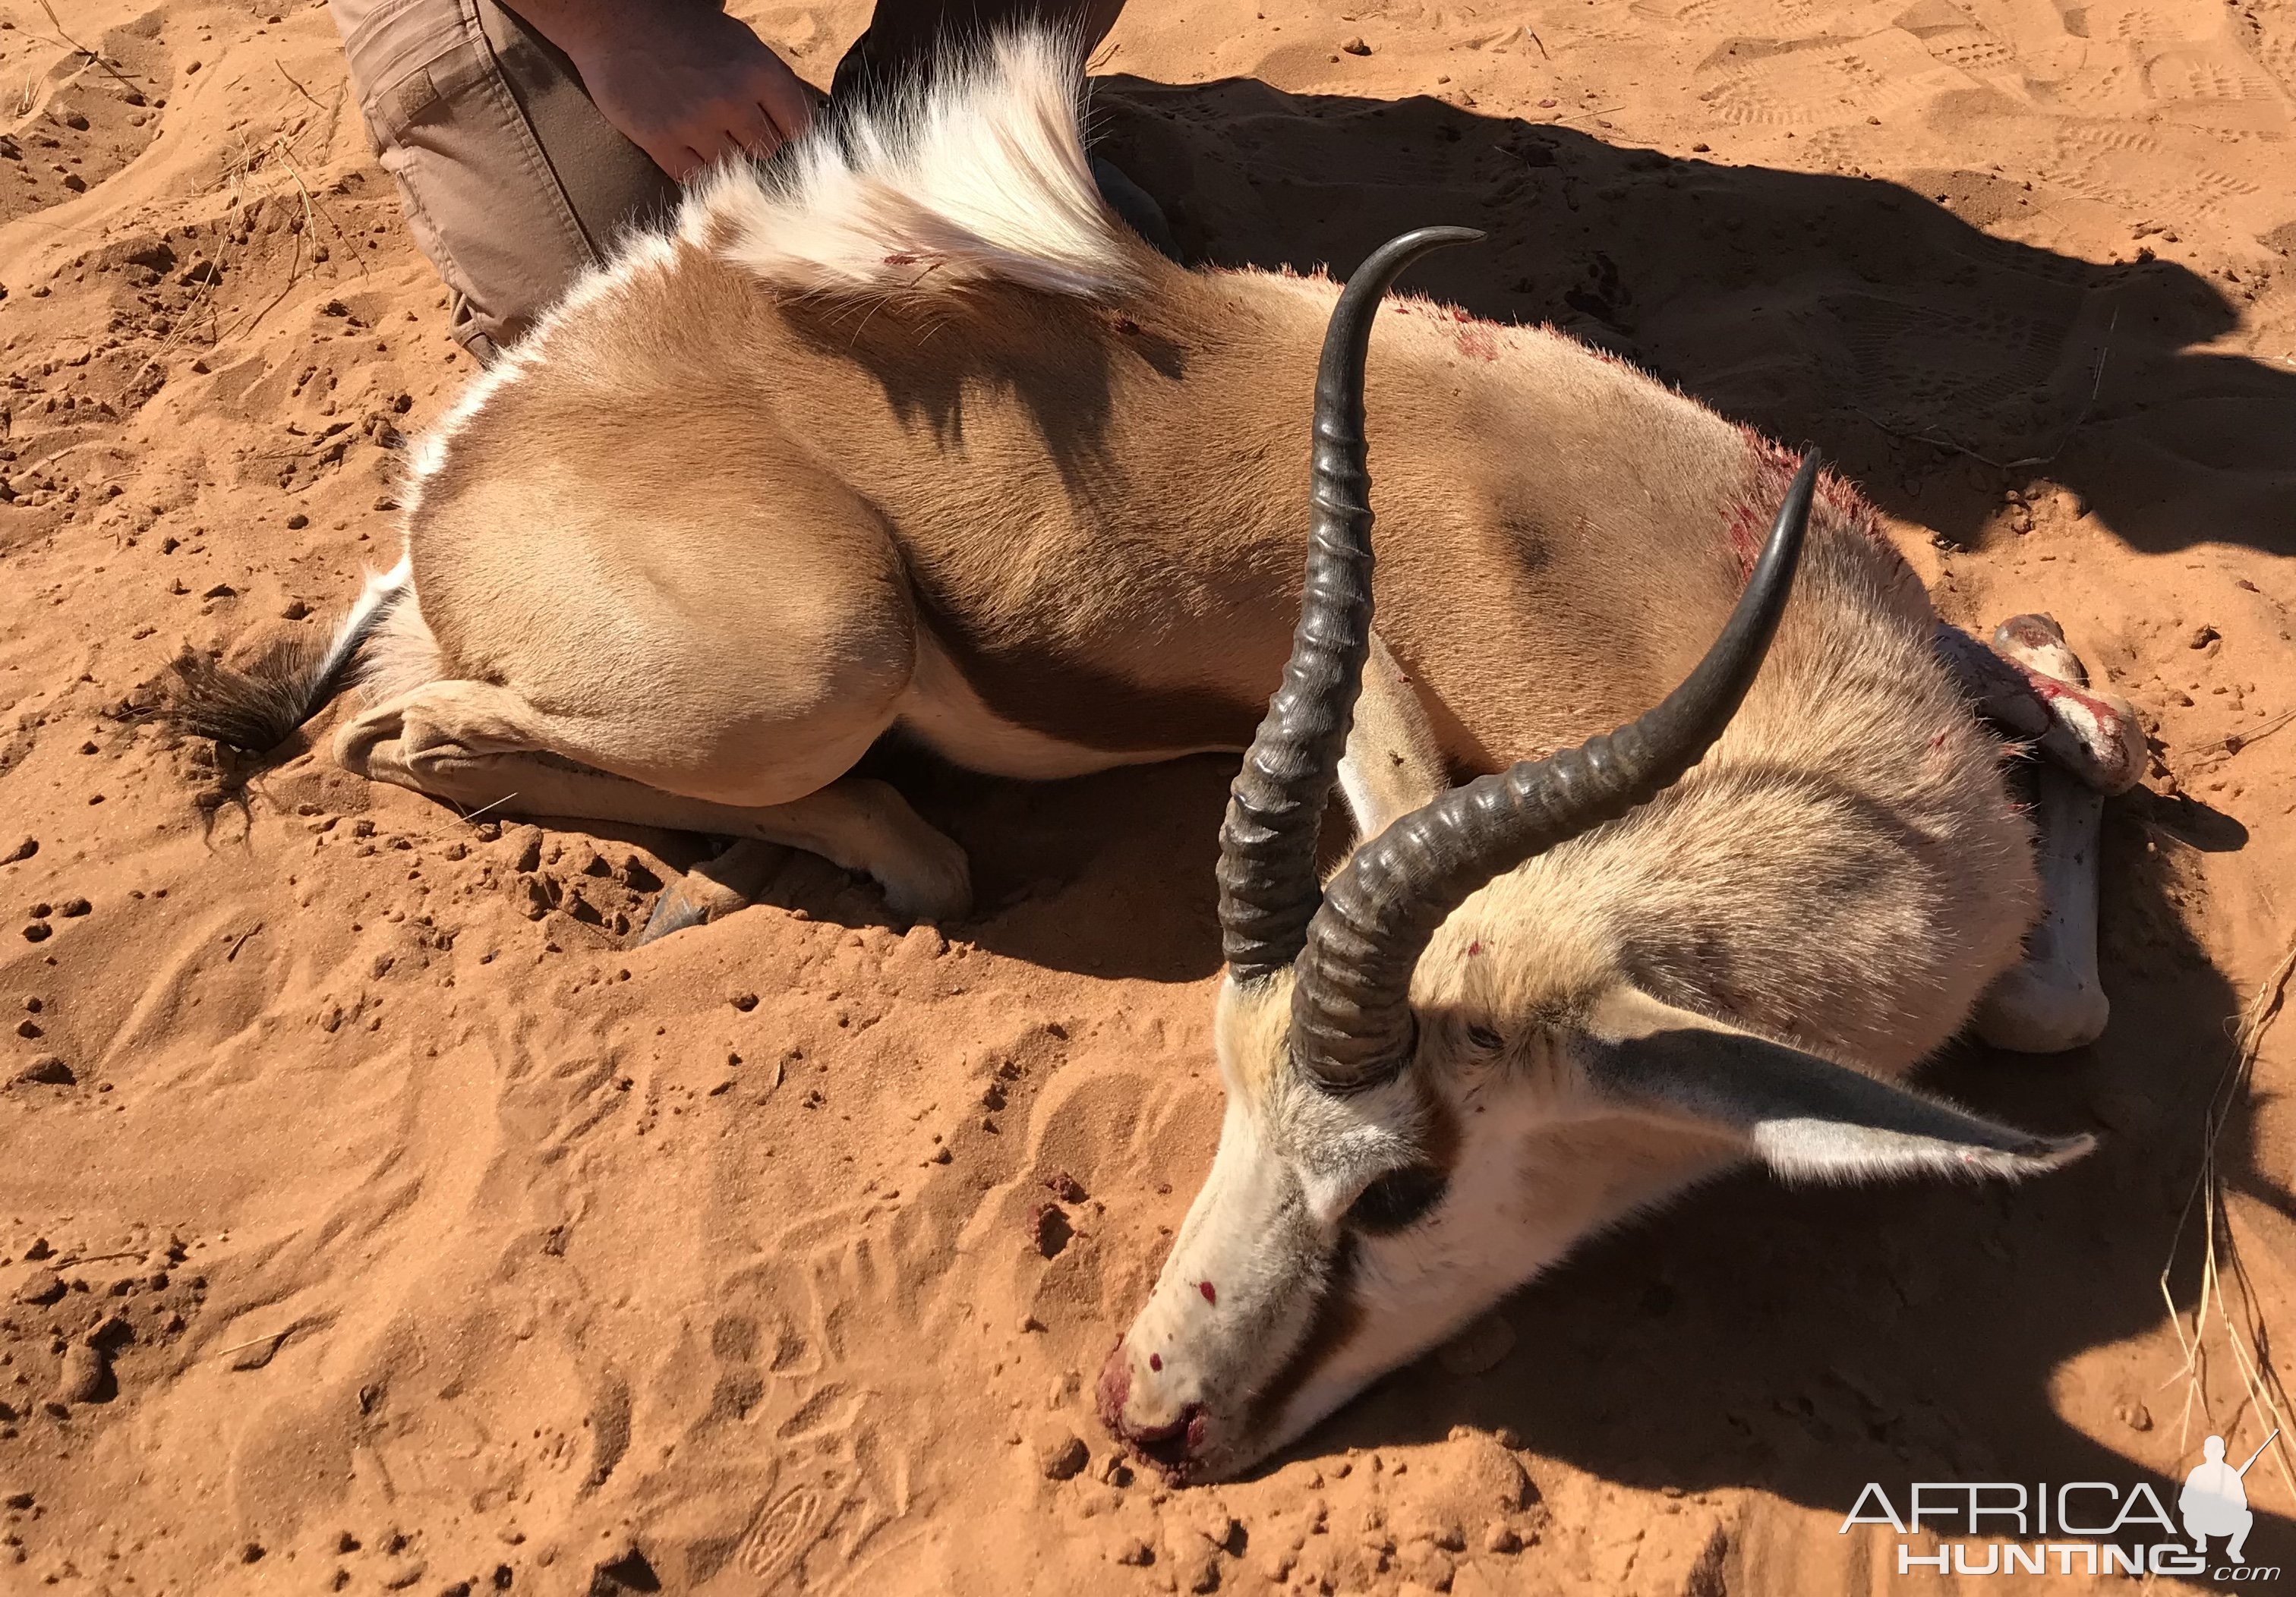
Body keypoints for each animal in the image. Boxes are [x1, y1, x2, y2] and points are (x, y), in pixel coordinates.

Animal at [169, 28, 2140, 1486]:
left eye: (1403, 1182)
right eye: (1219, 1088)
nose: (1145, 1408)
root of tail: (478, 452)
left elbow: (2077, 813)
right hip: (821, 656)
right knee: (417, 732)